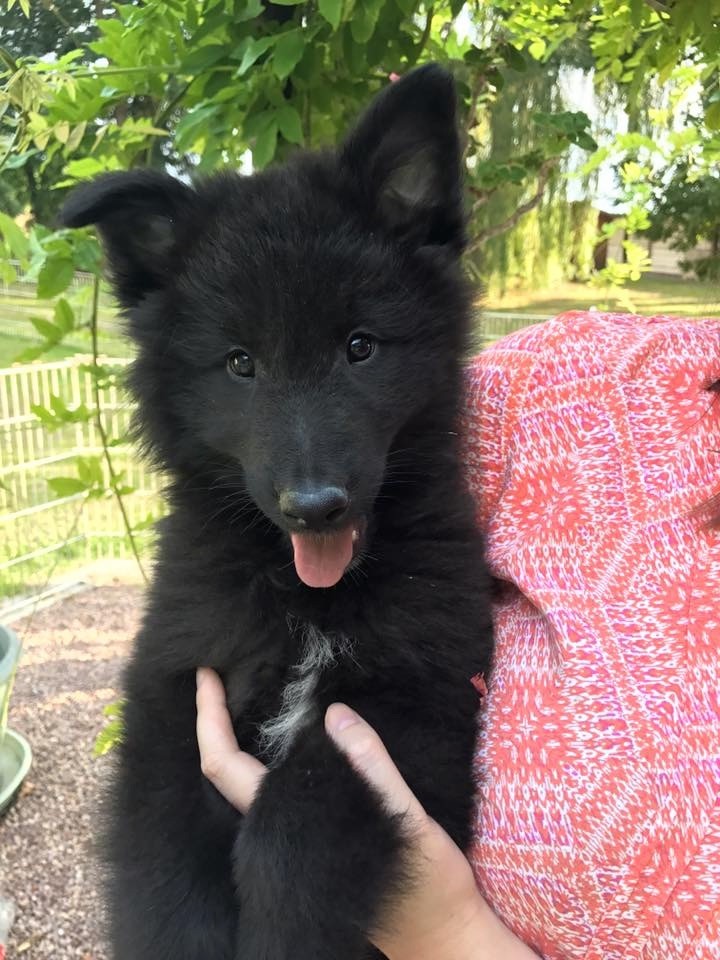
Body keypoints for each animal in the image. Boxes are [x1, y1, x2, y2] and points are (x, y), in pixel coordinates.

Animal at [61, 64, 493, 960]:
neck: (303, 601)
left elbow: (295, 827)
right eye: (239, 364)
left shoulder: (422, 700)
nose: (314, 507)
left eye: (360, 347)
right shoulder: (173, 690)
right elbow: (164, 860)